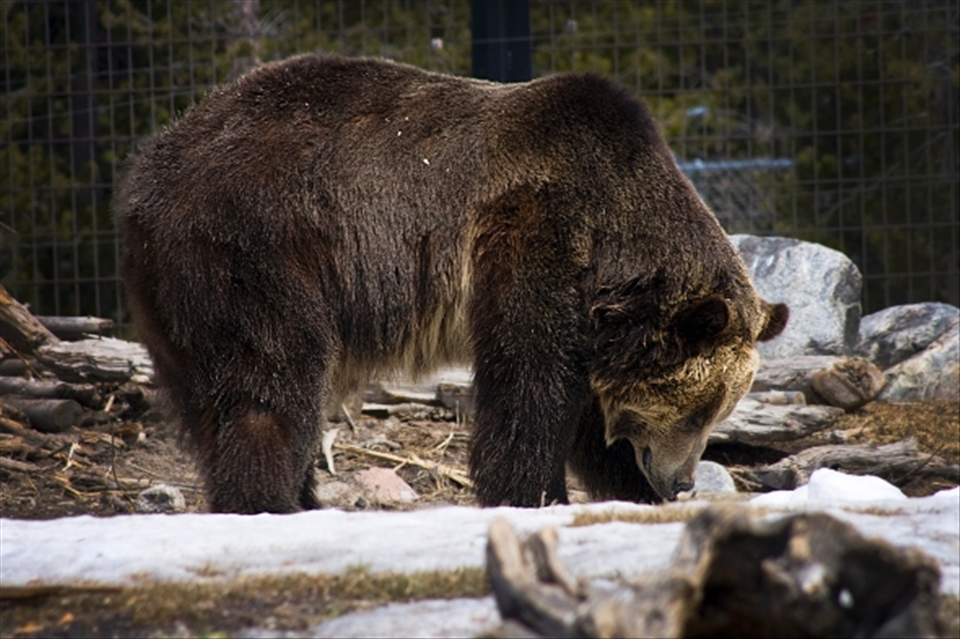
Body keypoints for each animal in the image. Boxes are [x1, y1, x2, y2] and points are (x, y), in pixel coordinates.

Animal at [115, 54, 788, 514]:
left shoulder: (599, 318)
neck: (614, 251)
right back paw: (272, 502)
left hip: (178, 298)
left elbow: (594, 418)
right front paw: (534, 494)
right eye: (700, 410)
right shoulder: (536, 233)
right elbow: (529, 383)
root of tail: (148, 170)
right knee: (272, 380)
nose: (683, 480)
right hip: (256, 248)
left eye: (720, 409)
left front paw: (631, 490)